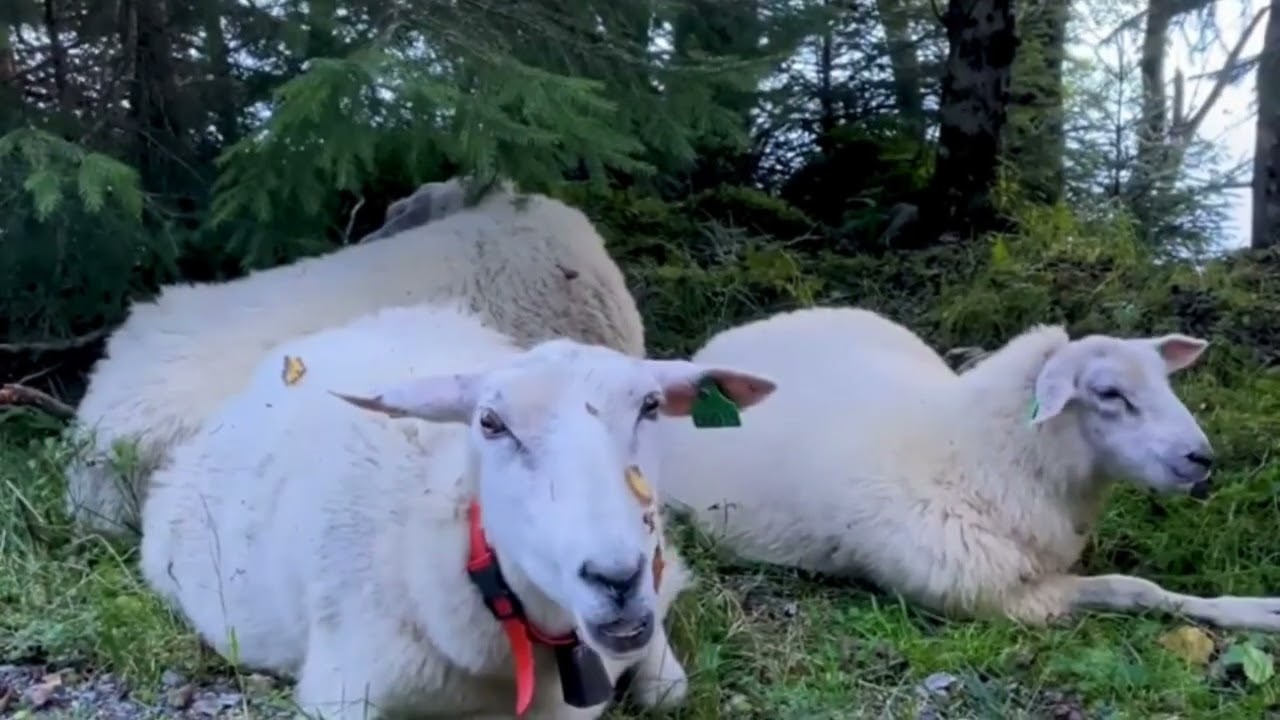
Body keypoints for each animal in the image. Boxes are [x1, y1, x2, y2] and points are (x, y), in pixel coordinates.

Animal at [657, 304, 1280, 632]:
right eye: (1108, 393)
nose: (1202, 458)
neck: (974, 456)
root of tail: (729, 338)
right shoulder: (993, 600)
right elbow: (1134, 589)